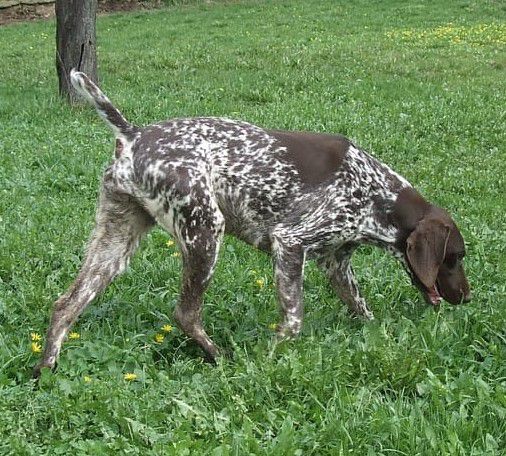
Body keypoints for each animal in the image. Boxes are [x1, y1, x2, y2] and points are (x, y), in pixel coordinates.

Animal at [33, 71, 472, 378]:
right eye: (455, 257)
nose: (467, 298)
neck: (376, 193)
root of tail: (134, 135)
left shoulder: (336, 262)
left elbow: (362, 310)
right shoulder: (290, 244)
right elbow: (293, 322)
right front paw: (270, 355)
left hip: (115, 244)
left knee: (65, 305)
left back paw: (45, 369)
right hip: (205, 233)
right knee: (185, 314)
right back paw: (220, 356)